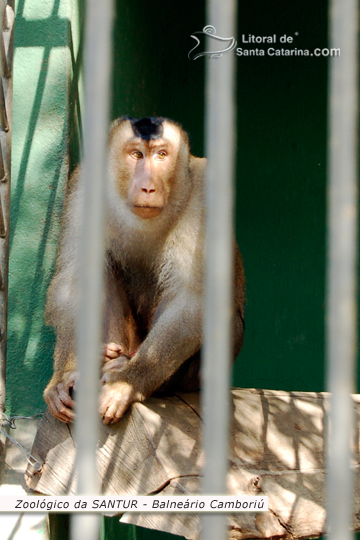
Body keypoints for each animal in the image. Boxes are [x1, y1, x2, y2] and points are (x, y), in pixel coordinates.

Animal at [43, 118, 245, 426]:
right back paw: (106, 357)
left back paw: (130, 368)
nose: (148, 187)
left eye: (161, 155)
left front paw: (127, 382)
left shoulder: (205, 194)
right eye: (136, 155)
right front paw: (64, 375)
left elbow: (192, 301)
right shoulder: (84, 186)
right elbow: (74, 283)